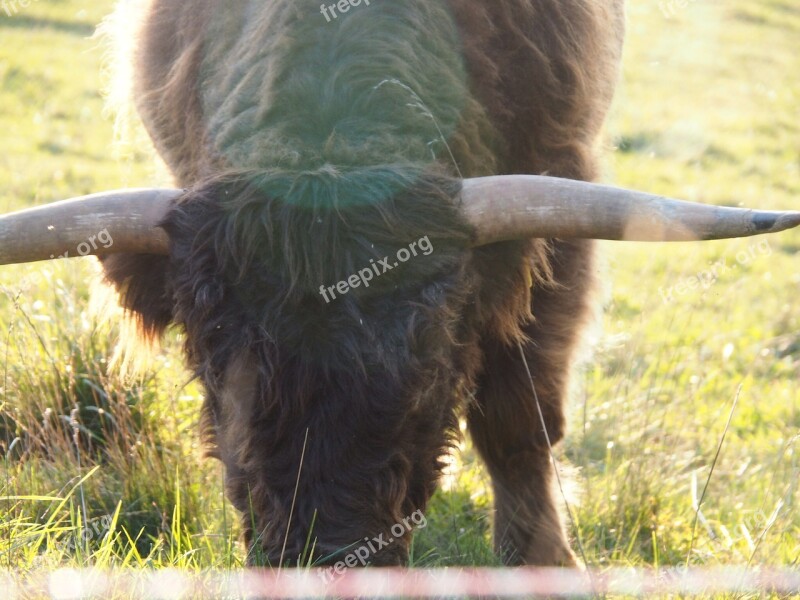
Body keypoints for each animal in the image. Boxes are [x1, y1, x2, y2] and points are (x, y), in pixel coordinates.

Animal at [1, 0, 800, 568]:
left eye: (428, 372)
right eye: (216, 371)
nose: (326, 560)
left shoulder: (558, 211)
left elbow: (519, 415)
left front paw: (545, 560)